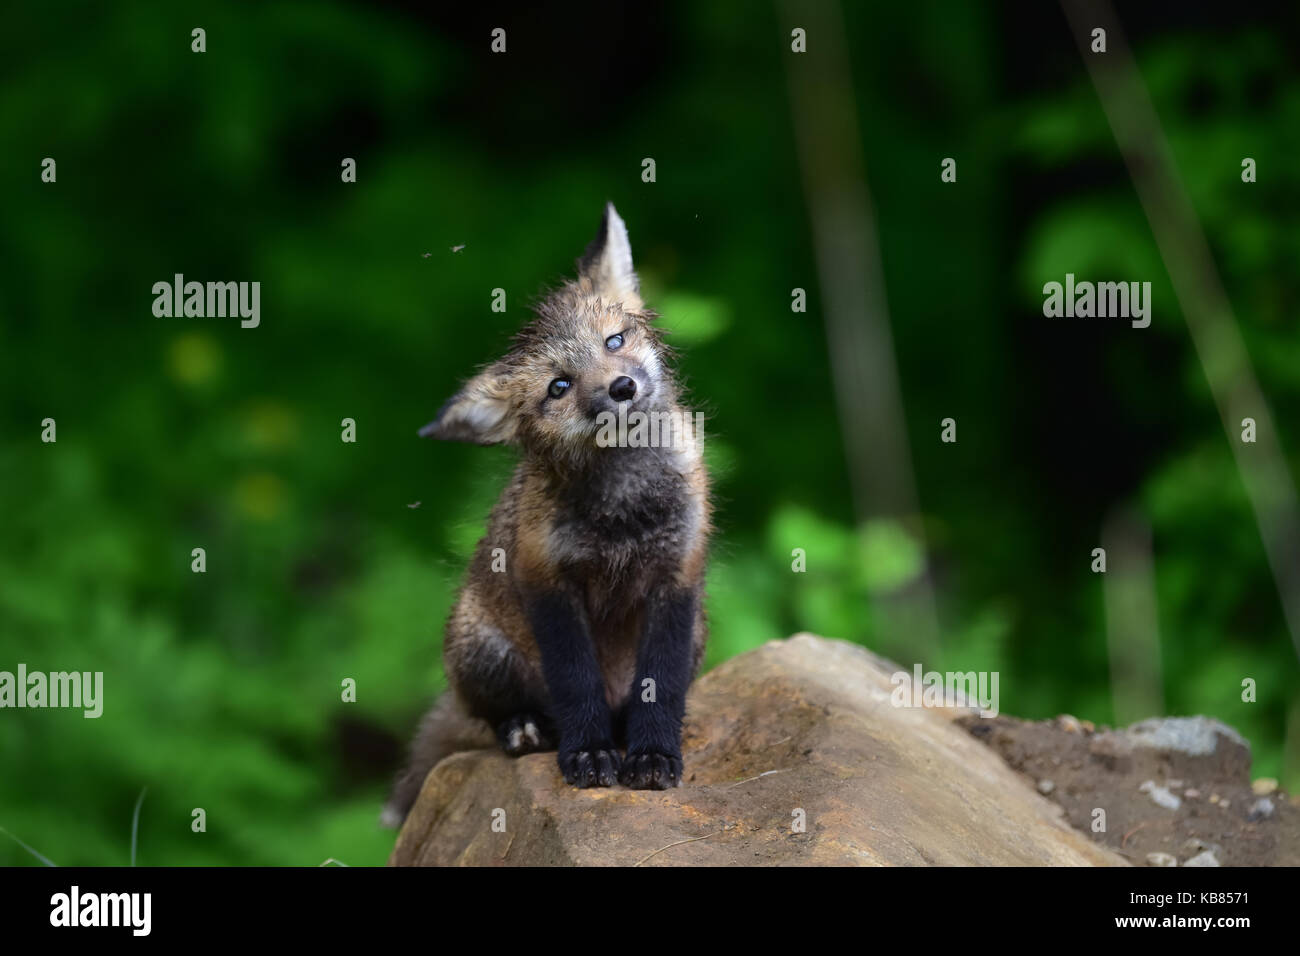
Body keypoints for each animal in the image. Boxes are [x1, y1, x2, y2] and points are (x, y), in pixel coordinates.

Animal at [384, 203, 711, 826]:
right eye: (559, 386)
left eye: (615, 340)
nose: (621, 387)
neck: (624, 513)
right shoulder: (547, 580)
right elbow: (576, 682)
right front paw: (588, 755)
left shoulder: (676, 575)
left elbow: (661, 683)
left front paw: (653, 755)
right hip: (479, 648)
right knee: (498, 716)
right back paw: (527, 729)